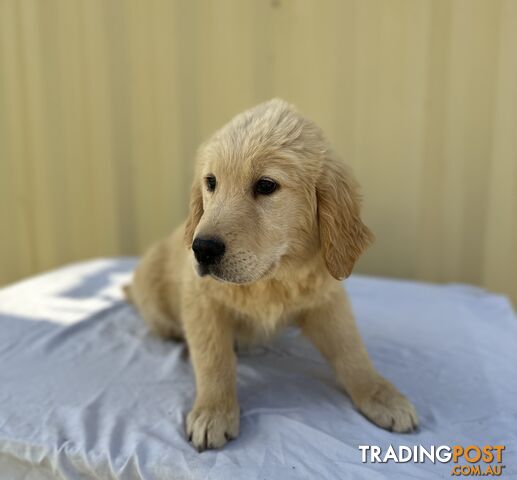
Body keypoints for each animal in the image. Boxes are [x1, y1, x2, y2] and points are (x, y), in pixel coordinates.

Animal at [127, 99, 418, 452]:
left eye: (266, 186)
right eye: (211, 182)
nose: (202, 249)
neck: (270, 279)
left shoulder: (326, 299)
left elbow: (351, 350)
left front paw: (380, 394)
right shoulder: (202, 300)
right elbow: (213, 359)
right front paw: (214, 411)